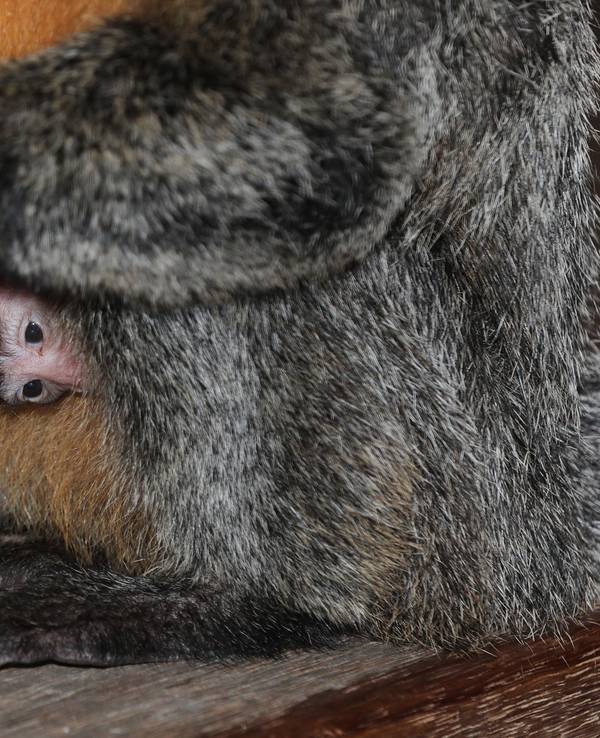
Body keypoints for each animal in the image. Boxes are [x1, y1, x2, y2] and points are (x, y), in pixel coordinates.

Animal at [0, 0, 597, 666]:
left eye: (35, 338)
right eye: (29, 382)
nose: (51, 379)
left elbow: (329, 120)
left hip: (476, 494)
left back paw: (236, 605)